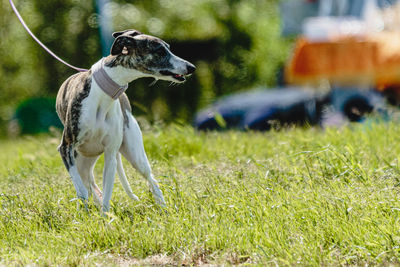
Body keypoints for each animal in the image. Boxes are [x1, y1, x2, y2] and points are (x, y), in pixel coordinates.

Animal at [55, 29, 196, 214]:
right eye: (160, 51)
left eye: (169, 48)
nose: (191, 67)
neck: (103, 94)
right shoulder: (66, 148)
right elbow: (82, 192)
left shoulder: (110, 155)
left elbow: (107, 194)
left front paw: (105, 218)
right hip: (82, 162)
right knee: (90, 186)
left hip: (134, 155)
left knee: (151, 180)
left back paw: (164, 208)